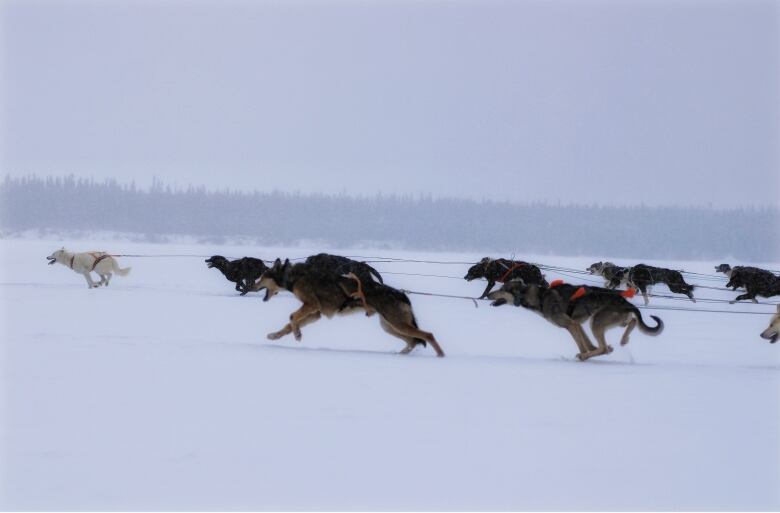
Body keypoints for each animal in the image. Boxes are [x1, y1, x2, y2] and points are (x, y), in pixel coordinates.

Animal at [490, 280, 660, 360]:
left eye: (502, 289)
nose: (488, 294)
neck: (539, 297)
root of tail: (626, 303)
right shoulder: (577, 324)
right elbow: (587, 344)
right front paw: (593, 351)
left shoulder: (570, 324)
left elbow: (583, 346)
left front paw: (584, 355)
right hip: (614, 321)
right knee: (632, 322)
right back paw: (624, 339)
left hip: (596, 322)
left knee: (603, 346)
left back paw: (588, 355)